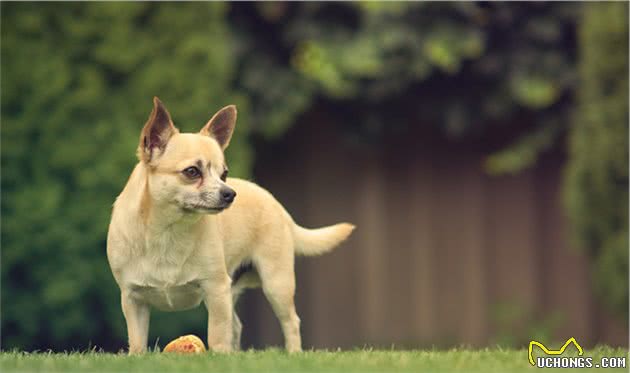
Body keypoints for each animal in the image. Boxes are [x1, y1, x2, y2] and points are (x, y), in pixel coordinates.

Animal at [107, 97, 358, 354]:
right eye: (192, 172)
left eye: (224, 174)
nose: (230, 193)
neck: (169, 232)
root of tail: (274, 202)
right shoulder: (133, 299)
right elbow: (137, 341)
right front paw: (137, 357)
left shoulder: (216, 289)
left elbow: (217, 334)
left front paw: (218, 356)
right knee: (236, 325)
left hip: (276, 284)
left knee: (289, 321)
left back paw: (293, 353)